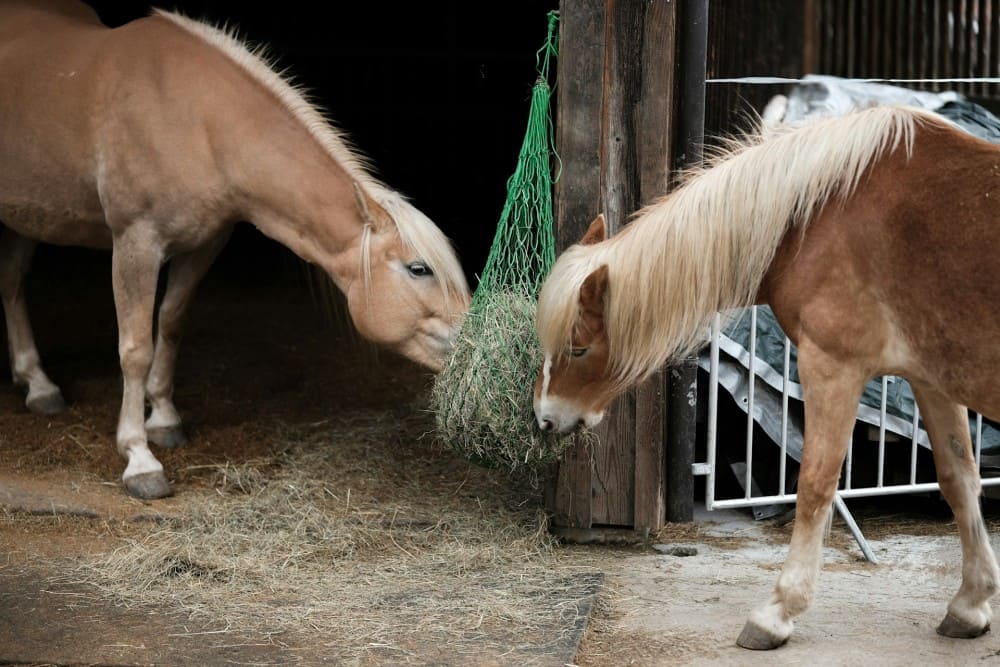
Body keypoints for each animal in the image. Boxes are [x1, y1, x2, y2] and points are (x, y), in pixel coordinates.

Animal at [0, 0, 470, 499]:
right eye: (419, 269)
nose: (470, 337)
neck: (193, 118)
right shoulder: (135, 243)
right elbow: (135, 347)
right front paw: (140, 459)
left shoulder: (203, 245)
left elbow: (170, 323)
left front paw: (164, 418)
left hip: (27, 213)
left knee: (11, 282)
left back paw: (38, 385)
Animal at [533, 104, 1000, 648]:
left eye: (578, 348)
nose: (544, 417)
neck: (818, 212)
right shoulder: (930, 379)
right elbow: (959, 479)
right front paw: (970, 605)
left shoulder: (832, 366)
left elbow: (815, 486)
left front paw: (777, 612)